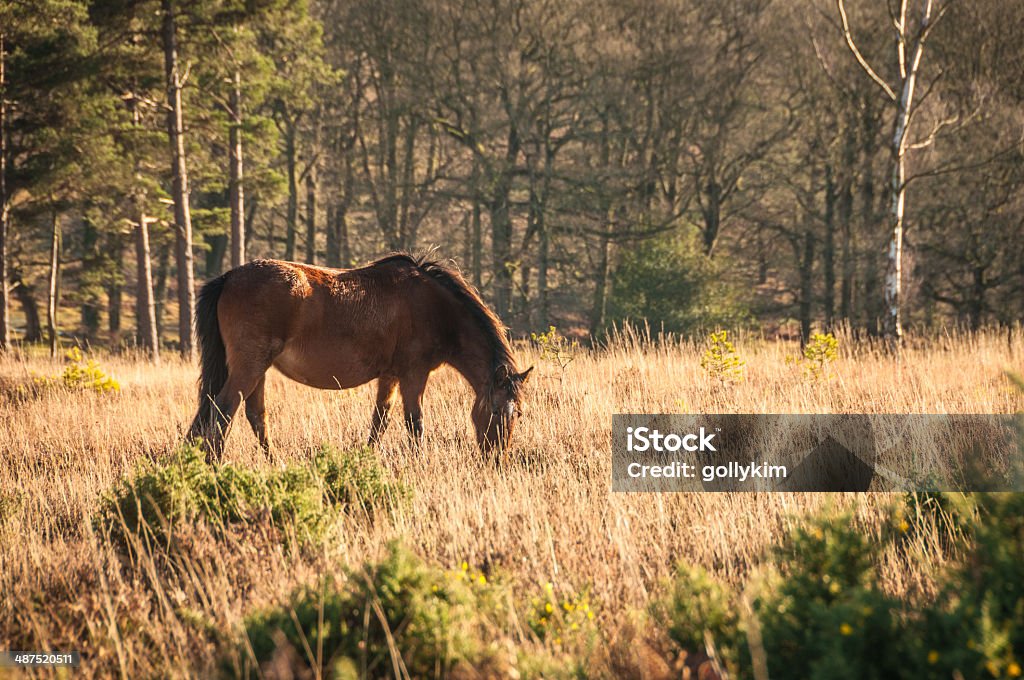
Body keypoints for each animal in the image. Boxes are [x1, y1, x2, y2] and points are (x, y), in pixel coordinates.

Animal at [187, 255, 532, 462]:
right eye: (497, 411)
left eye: (519, 413)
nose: (497, 459)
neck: (435, 307)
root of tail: (228, 277)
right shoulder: (414, 374)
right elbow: (415, 423)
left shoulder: (390, 376)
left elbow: (379, 421)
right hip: (249, 367)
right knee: (222, 414)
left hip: (257, 369)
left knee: (254, 417)